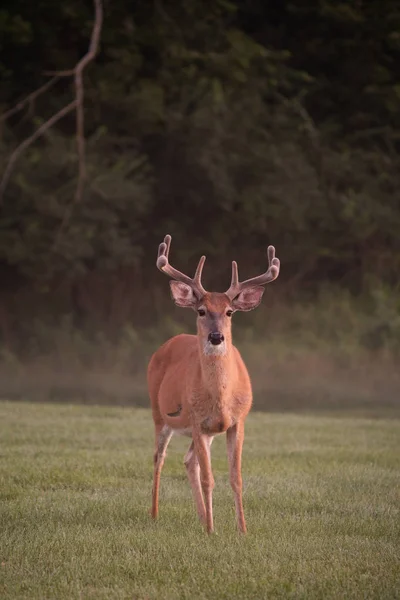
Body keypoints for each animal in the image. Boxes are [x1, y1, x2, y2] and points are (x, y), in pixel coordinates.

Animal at [148, 232, 282, 532]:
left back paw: (200, 516)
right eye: (201, 310)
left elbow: (236, 478)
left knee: (189, 462)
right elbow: (209, 478)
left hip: (206, 433)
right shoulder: (197, 420)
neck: (220, 398)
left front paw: (242, 530)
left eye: (230, 312)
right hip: (160, 415)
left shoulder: (237, 421)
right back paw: (155, 514)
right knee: (159, 458)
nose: (217, 337)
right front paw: (212, 531)